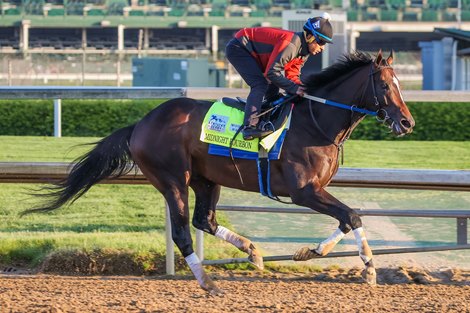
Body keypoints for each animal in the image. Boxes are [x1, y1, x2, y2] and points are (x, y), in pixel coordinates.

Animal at [26, 50, 414, 294]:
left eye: (401, 84)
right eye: (385, 85)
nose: (408, 122)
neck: (315, 121)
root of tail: (140, 124)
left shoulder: (315, 190)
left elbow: (349, 218)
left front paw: (313, 253)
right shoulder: (304, 191)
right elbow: (353, 214)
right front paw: (368, 269)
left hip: (206, 180)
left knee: (205, 220)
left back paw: (253, 252)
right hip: (173, 180)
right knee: (183, 232)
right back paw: (209, 284)